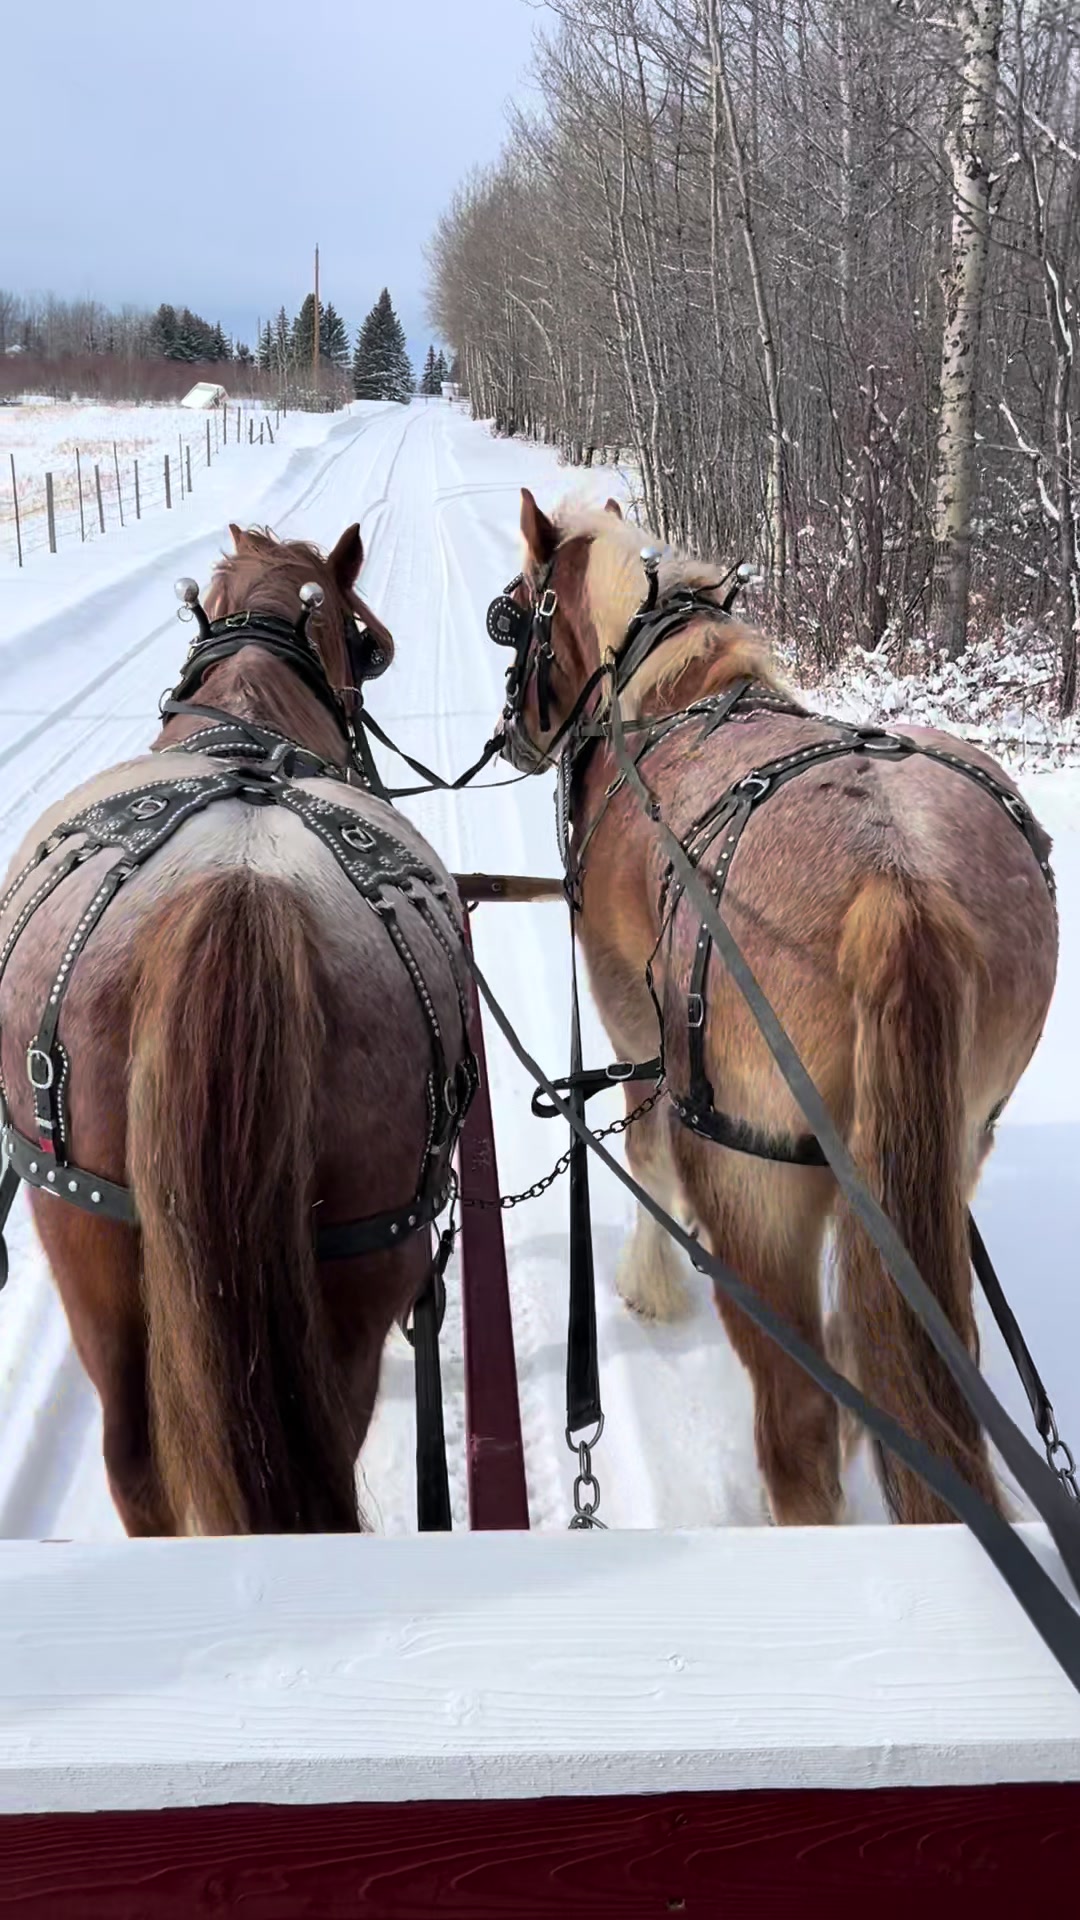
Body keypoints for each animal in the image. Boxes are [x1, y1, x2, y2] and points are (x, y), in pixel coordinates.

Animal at [492, 487, 1058, 1527]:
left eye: (515, 613)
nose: (514, 731)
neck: (660, 706)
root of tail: (895, 884)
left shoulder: (630, 1015)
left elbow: (643, 1150)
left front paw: (648, 1284)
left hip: (750, 1177)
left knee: (798, 1415)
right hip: (942, 1155)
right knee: (875, 1356)